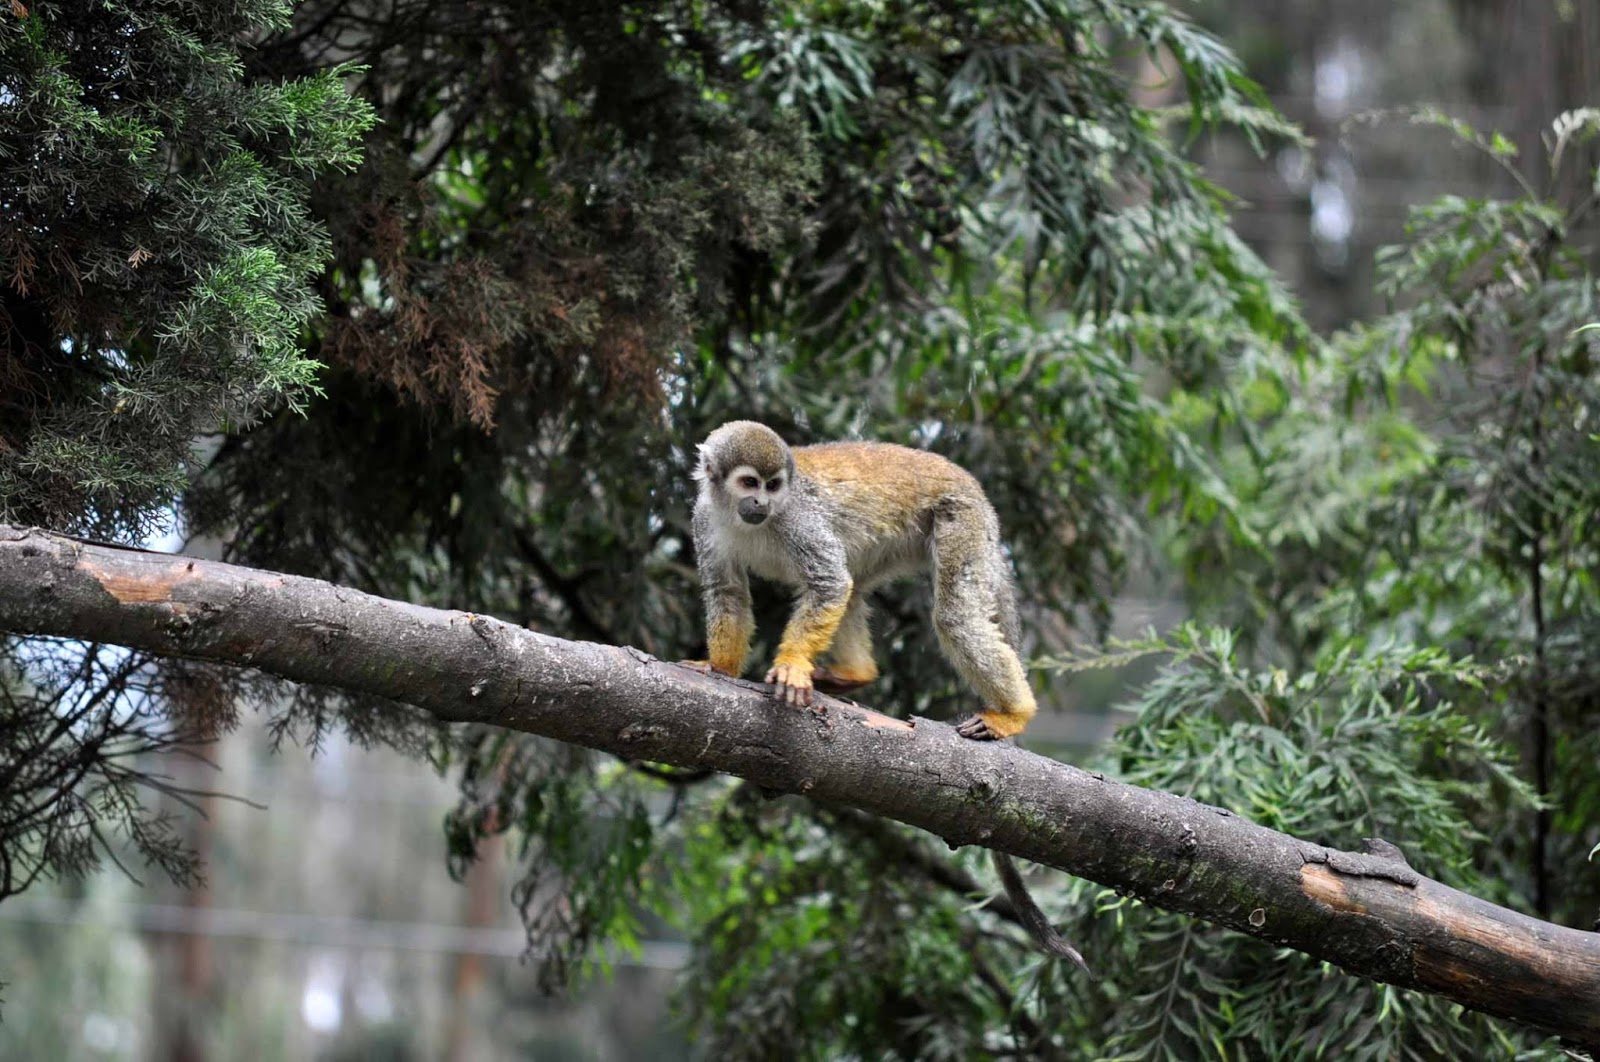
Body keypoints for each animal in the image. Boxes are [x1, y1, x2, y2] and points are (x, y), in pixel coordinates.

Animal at [684, 419, 1088, 966]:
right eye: (749, 484)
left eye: (773, 486)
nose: (760, 504)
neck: (743, 519)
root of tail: (972, 486)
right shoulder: (705, 520)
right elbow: (728, 592)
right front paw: (719, 667)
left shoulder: (797, 520)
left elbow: (828, 582)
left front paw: (790, 667)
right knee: (858, 582)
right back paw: (855, 675)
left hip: (958, 520)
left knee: (948, 611)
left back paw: (1014, 712)